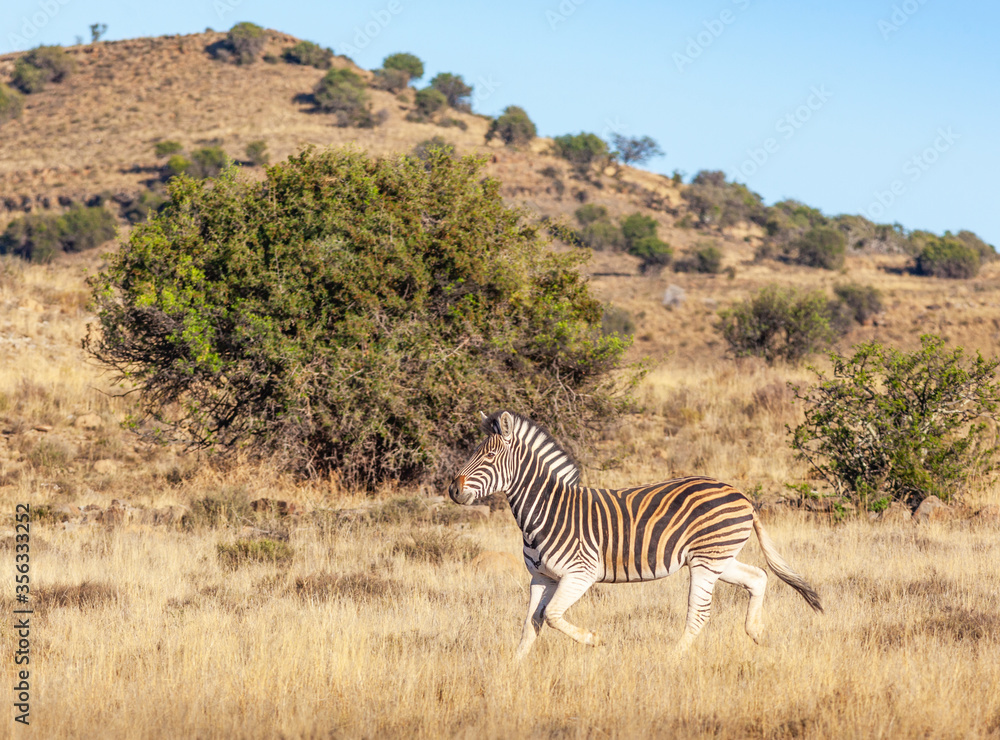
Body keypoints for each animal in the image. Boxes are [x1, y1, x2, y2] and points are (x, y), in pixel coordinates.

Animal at [449, 410, 823, 659]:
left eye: (490, 455)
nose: (453, 489)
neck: (547, 508)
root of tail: (741, 494)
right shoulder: (541, 578)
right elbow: (531, 624)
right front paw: (514, 670)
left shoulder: (580, 573)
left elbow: (552, 617)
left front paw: (595, 640)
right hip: (718, 558)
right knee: (757, 577)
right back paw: (757, 634)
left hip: (707, 560)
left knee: (699, 613)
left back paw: (672, 661)